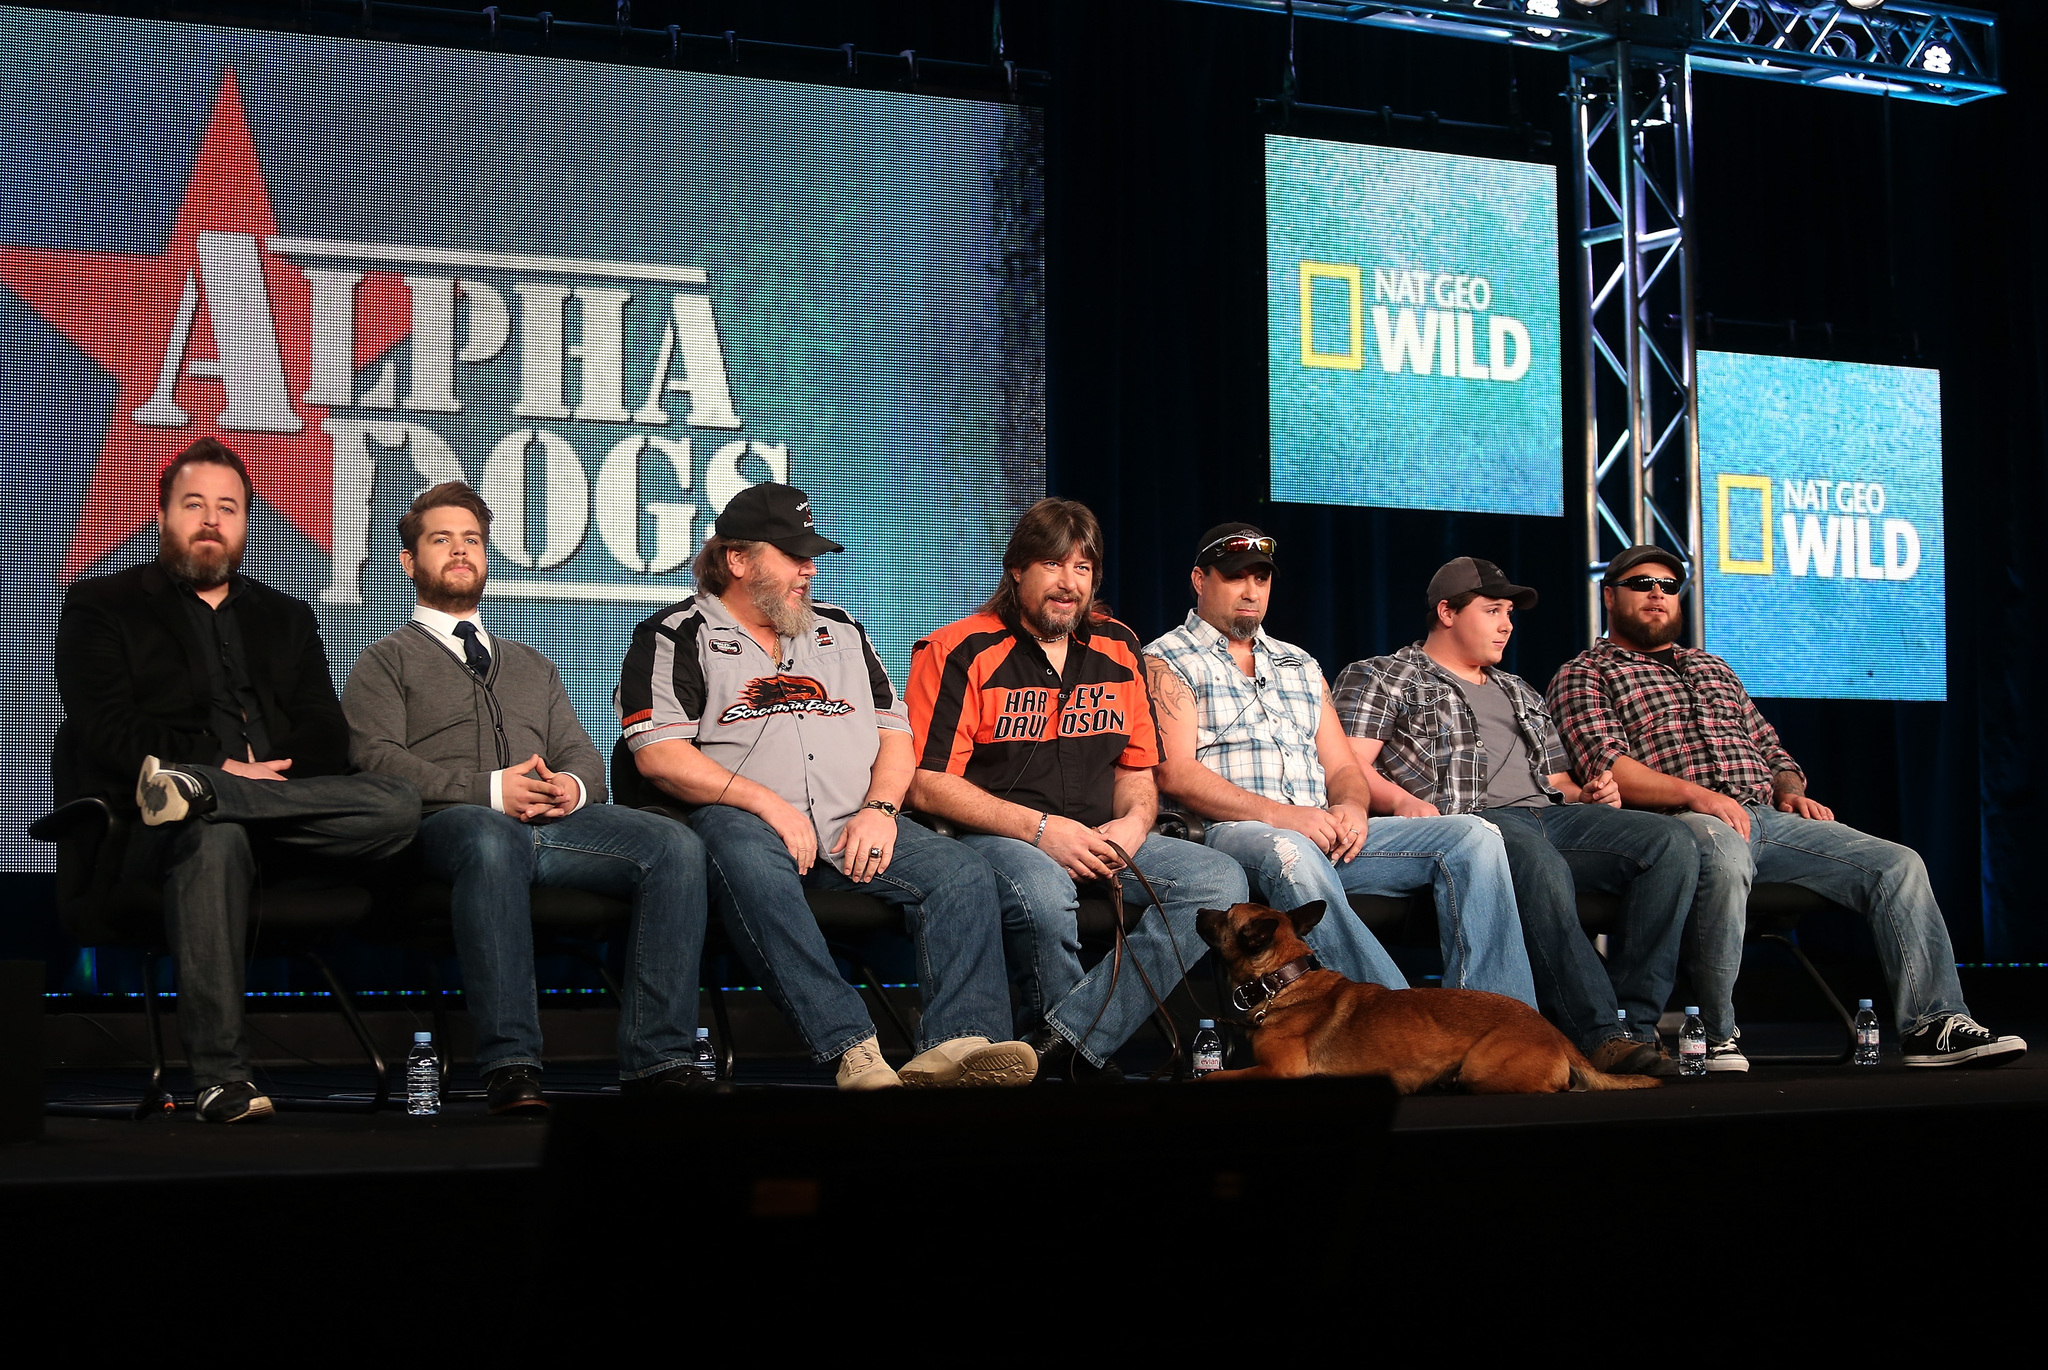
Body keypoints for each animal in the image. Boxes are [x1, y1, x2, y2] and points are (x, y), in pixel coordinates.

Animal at [1196, 896, 1654, 1089]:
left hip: (1482, 1071)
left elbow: (1221, 1077)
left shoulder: (1277, 1072)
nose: (1199, 911)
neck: (1284, 981)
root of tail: (1554, 1032)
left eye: (1225, 915)